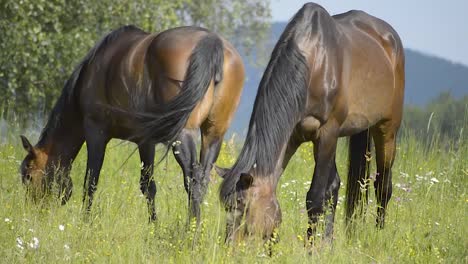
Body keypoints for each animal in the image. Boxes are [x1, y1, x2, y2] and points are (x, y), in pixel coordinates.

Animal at [18, 25, 245, 223]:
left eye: (28, 176)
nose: (32, 211)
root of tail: (211, 41)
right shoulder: (146, 142)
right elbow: (148, 186)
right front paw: (154, 227)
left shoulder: (96, 133)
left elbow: (92, 181)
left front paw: (85, 222)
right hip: (213, 135)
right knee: (202, 179)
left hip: (183, 134)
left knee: (193, 179)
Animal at [218, 2, 404, 241]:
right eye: (226, 206)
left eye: (243, 205)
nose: (230, 246)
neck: (313, 63)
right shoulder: (292, 136)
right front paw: (321, 243)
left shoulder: (327, 135)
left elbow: (315, 198)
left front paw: (310, 246)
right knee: (337, 186)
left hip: (387, 128)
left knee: (383, 185)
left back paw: (378, 233)